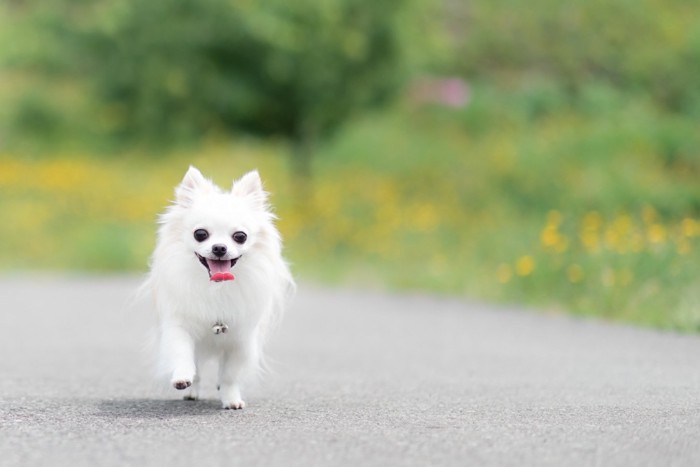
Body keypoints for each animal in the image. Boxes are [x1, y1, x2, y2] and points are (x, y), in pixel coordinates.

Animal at [142, 167, 296, 410]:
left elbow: (230, 375)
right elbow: (182, 352)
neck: (217, 288)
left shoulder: (240, 340)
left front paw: (231, 398)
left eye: (240, 236)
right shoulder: (179, 325)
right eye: (200, 234)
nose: (220, 248)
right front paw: (182, 377)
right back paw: (191, 390)